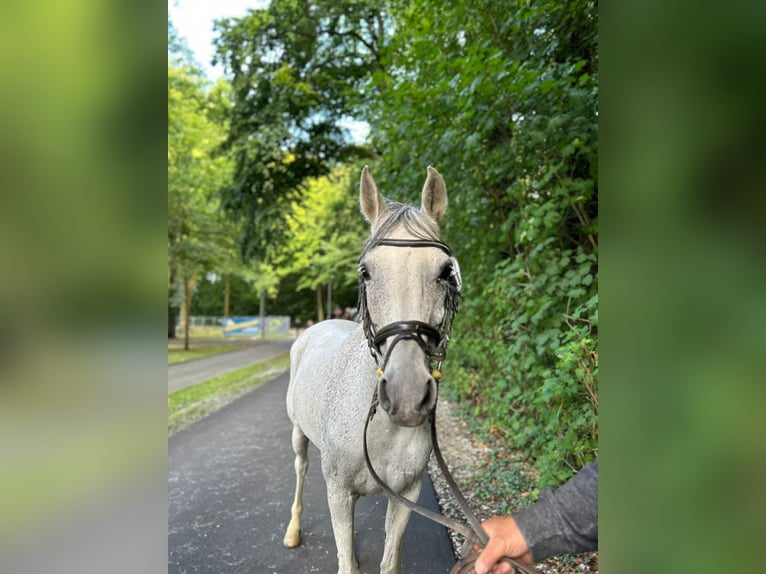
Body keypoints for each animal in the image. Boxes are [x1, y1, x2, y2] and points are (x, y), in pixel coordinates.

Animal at [284, 166, 460, 574]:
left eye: (445, 271)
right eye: (365, 272)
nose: (406, 395)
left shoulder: (406, 494)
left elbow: (388, 560)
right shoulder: (337, 490)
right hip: (298, 433)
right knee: (300, 469)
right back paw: (293, 530)